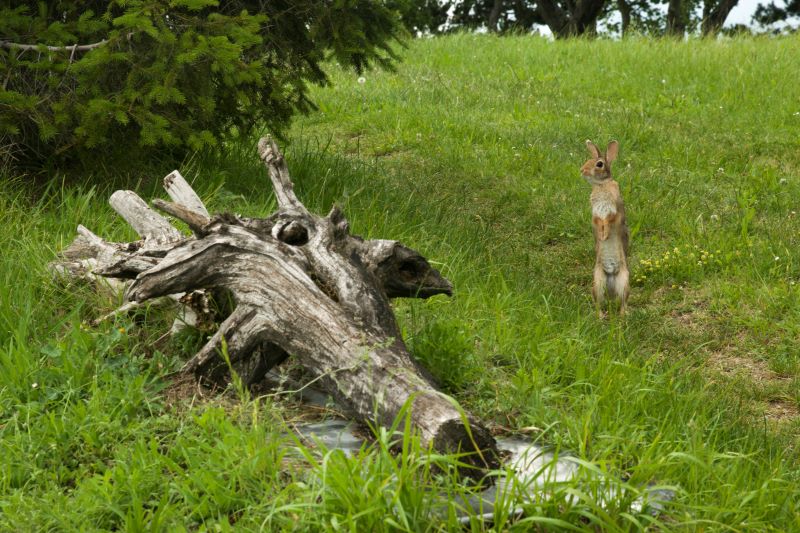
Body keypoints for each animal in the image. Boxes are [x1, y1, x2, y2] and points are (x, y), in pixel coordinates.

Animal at [580, 139, 632, 318]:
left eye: (599, 164)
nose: (582, 171)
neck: (602, 185)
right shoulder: (595, 213)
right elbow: (598, 222)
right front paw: (601, 236)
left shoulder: (613, 211)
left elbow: (609, 221)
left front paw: (605, 235)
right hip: (597, 281)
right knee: (598, 302)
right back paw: (601, 316)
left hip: (624, 280)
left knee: (623, 301)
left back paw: (622, 315)